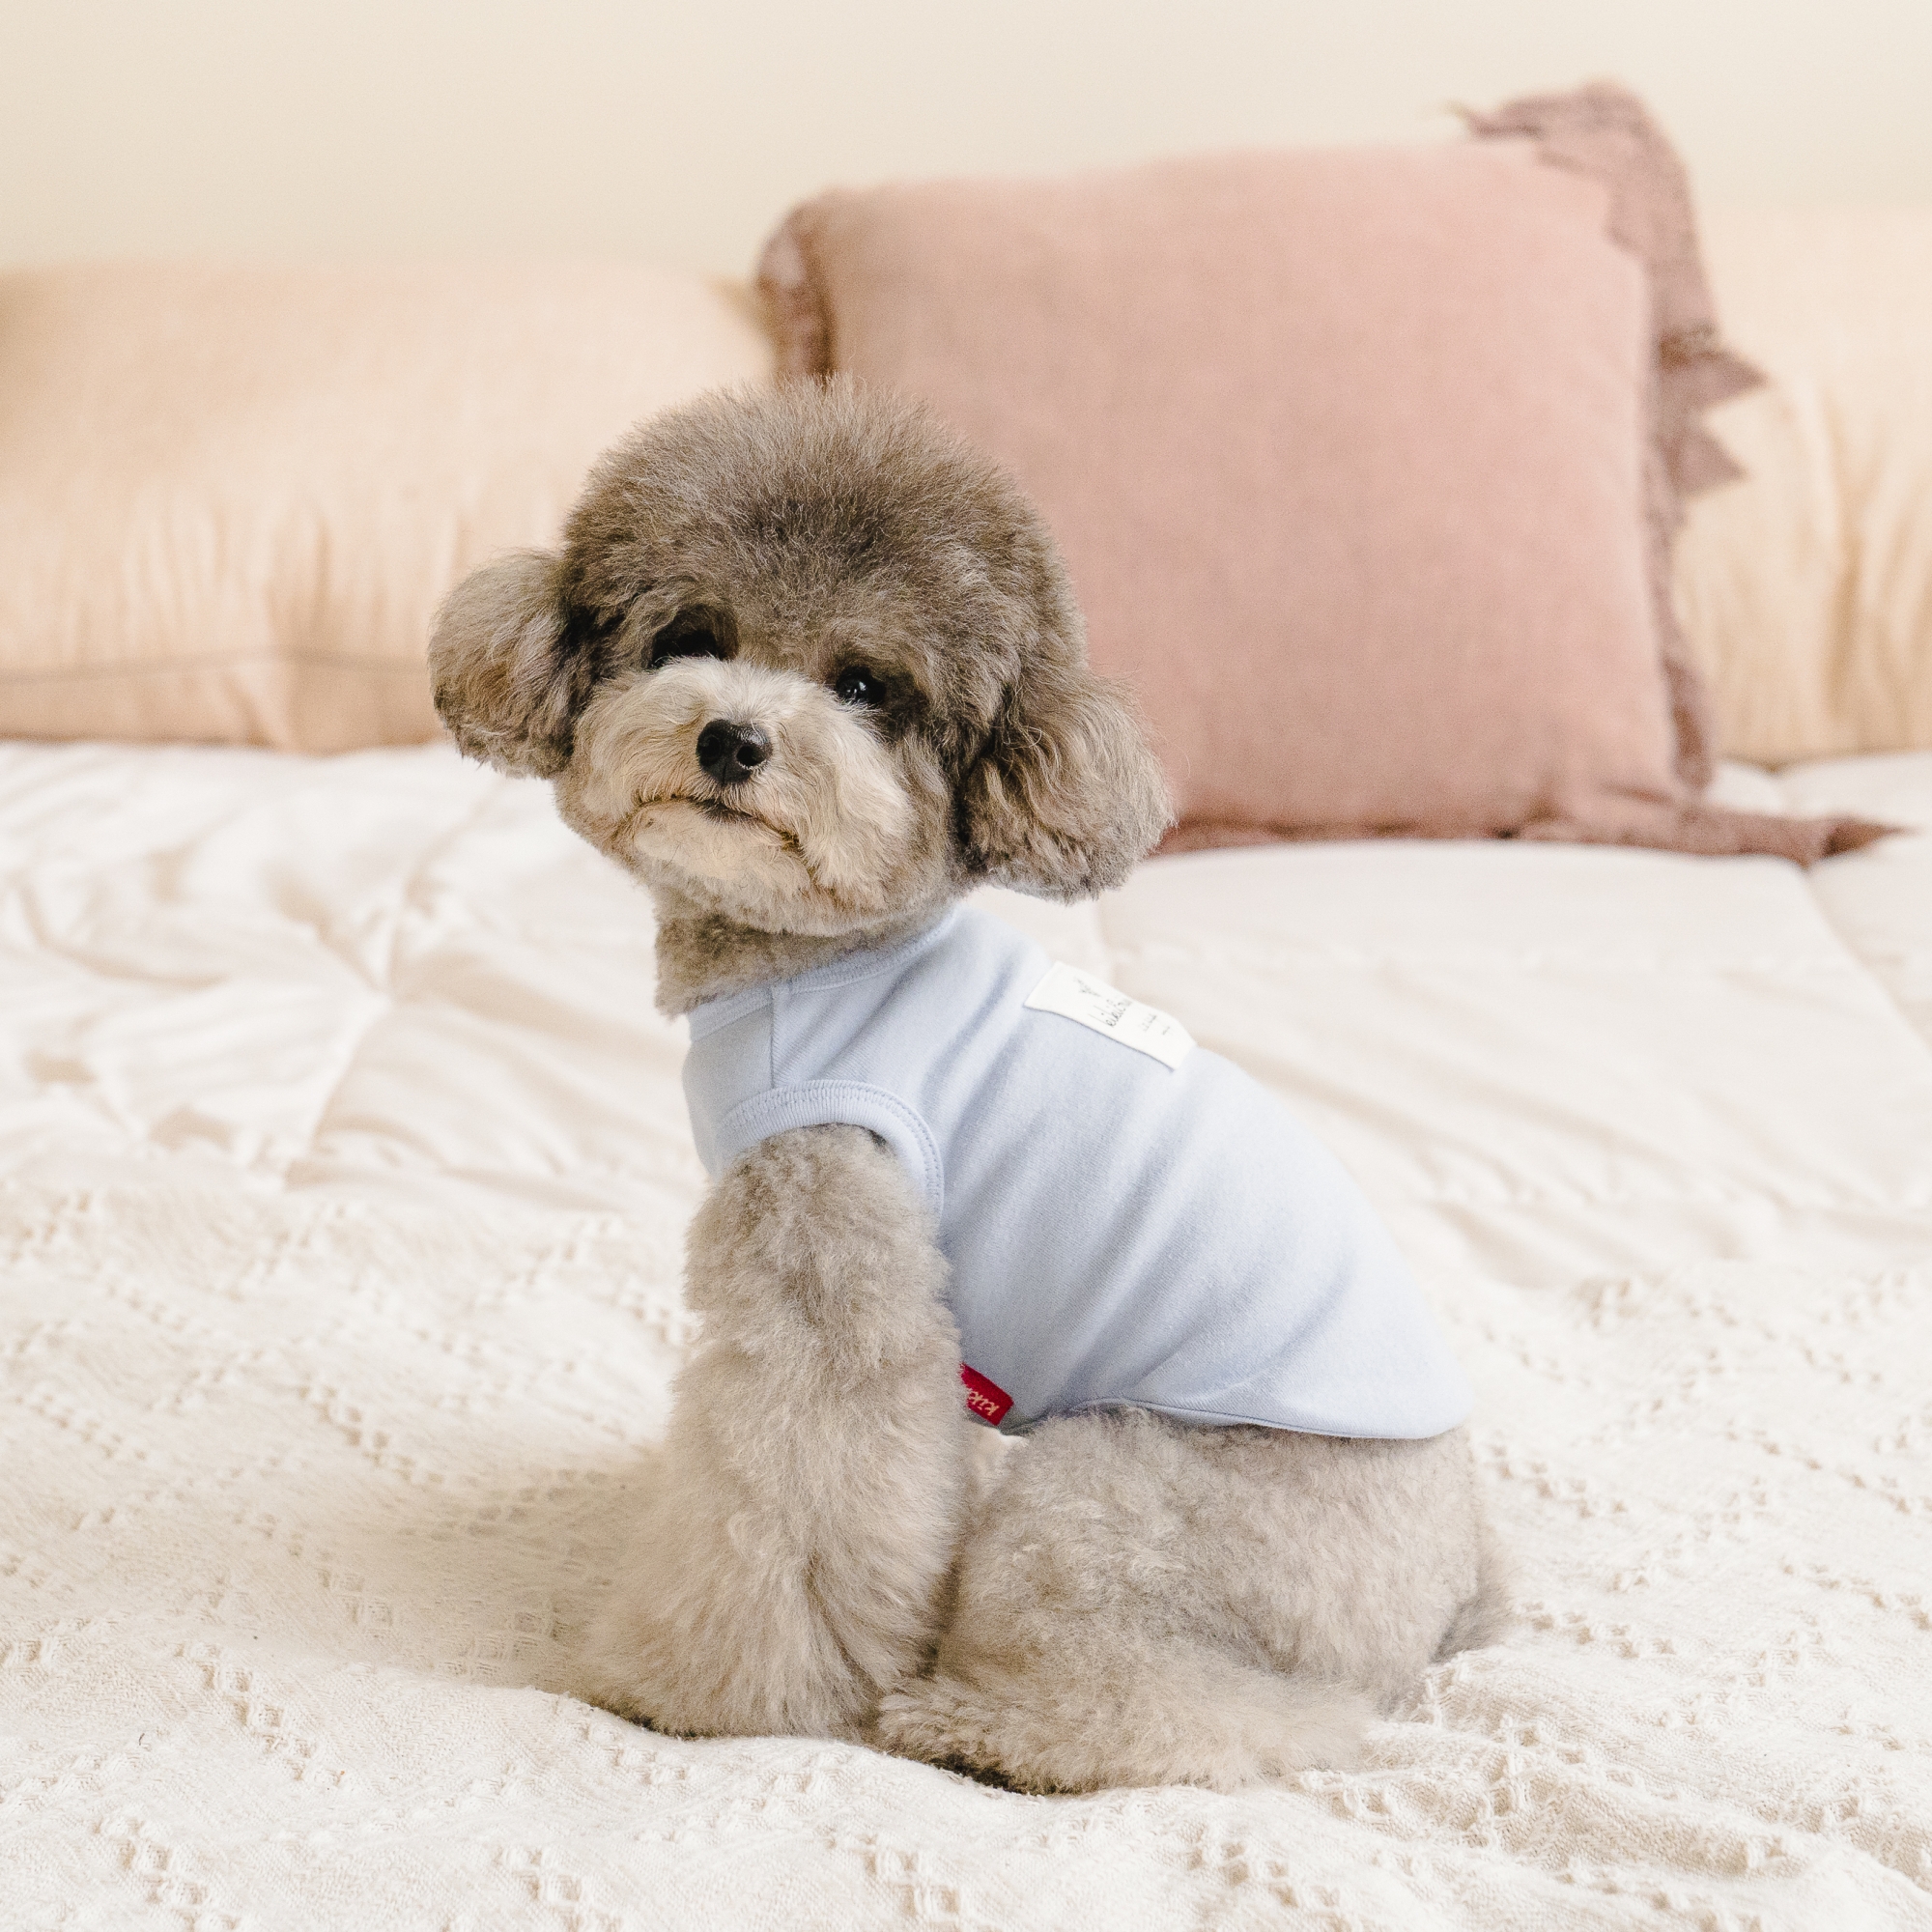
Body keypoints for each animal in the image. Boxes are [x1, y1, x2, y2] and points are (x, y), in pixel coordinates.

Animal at [428, 377, 1508, 1792]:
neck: (829, 960)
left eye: (865, 686)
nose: (733, 739)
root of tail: (1449, 1594)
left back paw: (977, 1723)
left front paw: (694, 1695)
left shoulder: (832, 1258)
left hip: (1119, 1497)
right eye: (689, 637)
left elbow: (788, 1500)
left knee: (1222, 1714)